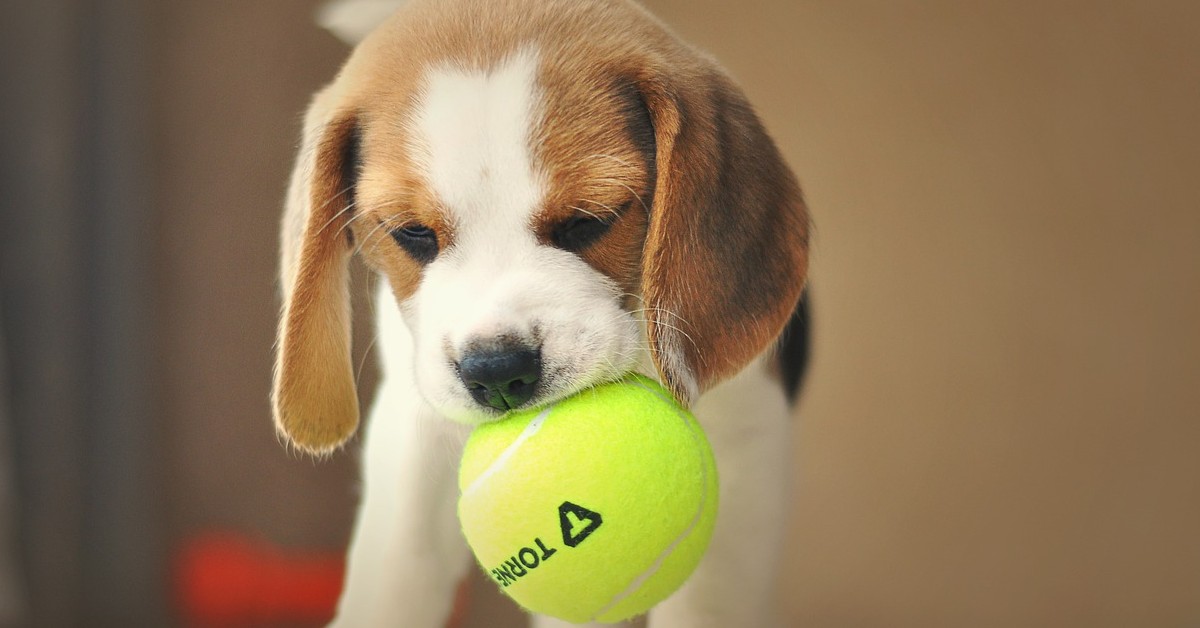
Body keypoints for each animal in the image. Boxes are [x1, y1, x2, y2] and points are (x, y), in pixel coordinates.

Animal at [276, 1, 811, 628]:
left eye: (589, 220)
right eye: (412, 233)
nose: (497, 371)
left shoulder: (745, 446)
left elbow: (709, 597)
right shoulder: (413, 431)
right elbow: (398, 569)